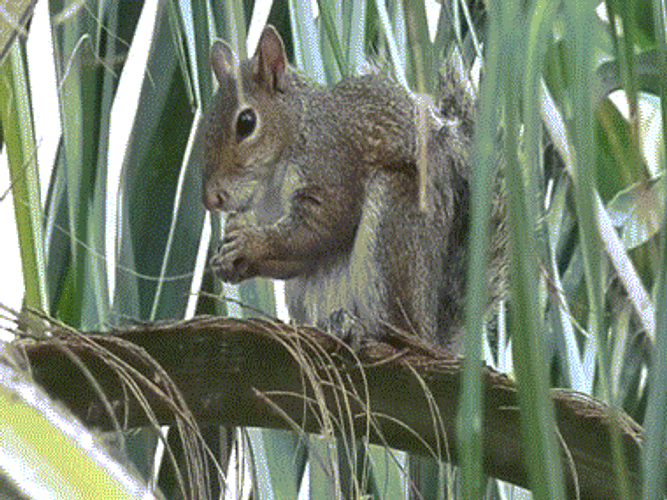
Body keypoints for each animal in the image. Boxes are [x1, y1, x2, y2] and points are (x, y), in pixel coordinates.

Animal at [200, 25, 475, 351]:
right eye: (203, 123)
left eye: (246, 122)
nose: (210, 199)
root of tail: (432, 332)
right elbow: (296, 257)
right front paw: (228, 256)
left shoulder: (332, 167)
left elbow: (324, 226)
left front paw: (250, 242)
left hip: (393, 223)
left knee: (398, 332)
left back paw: (359, 328)